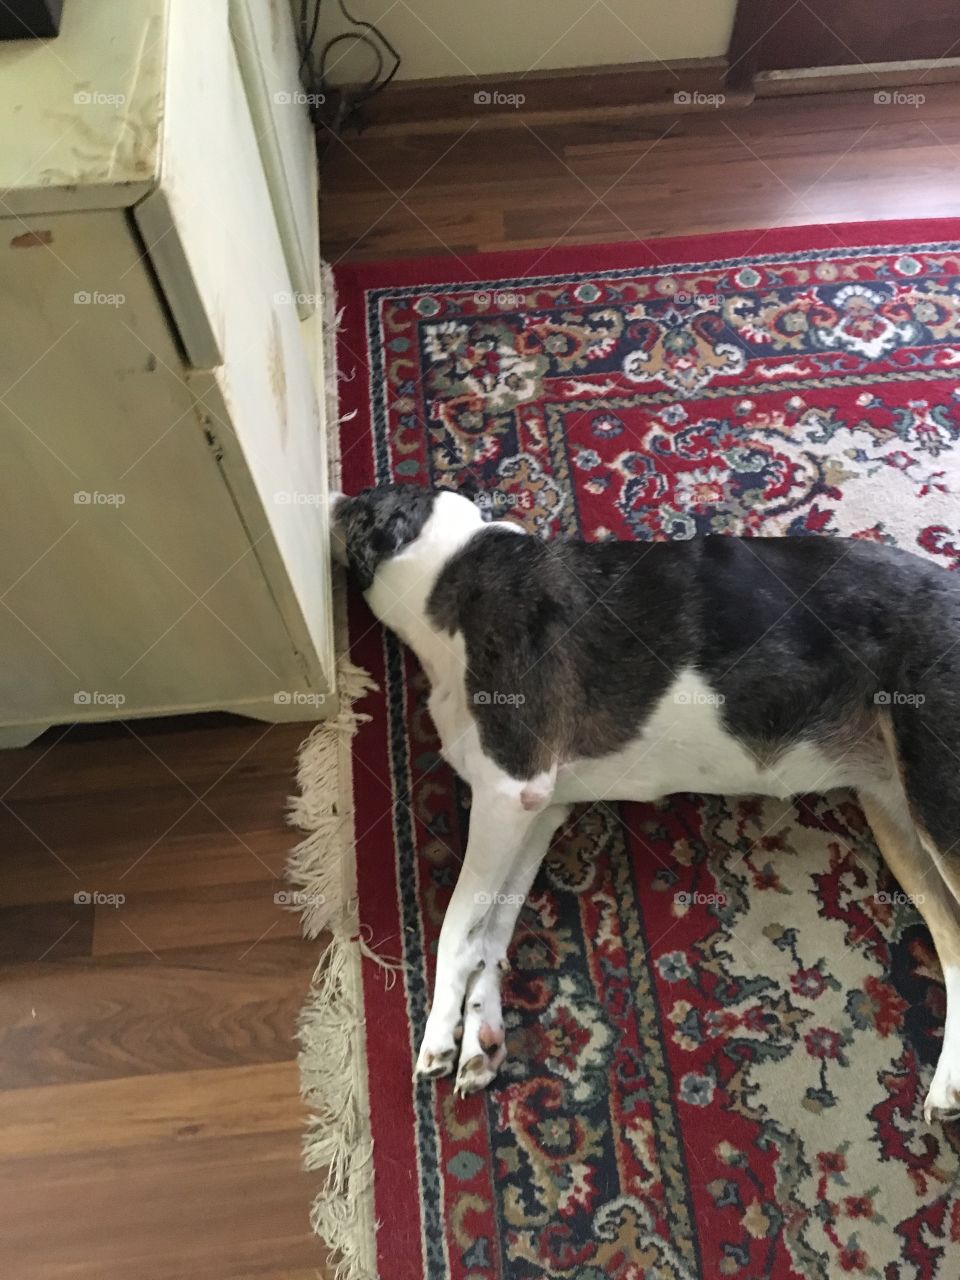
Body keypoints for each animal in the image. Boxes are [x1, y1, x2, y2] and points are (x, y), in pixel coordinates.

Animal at [331, 483, 960, 1119]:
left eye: (358, 508)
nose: (329, 497)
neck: (453, 565)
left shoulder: (509, 791)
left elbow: (457, 924)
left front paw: (438, 1033)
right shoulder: (537, 810)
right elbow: (489, 930)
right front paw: (481, 1036)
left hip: (937, 800)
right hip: (897, 815)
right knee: (953, 939)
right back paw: (949, 1083)